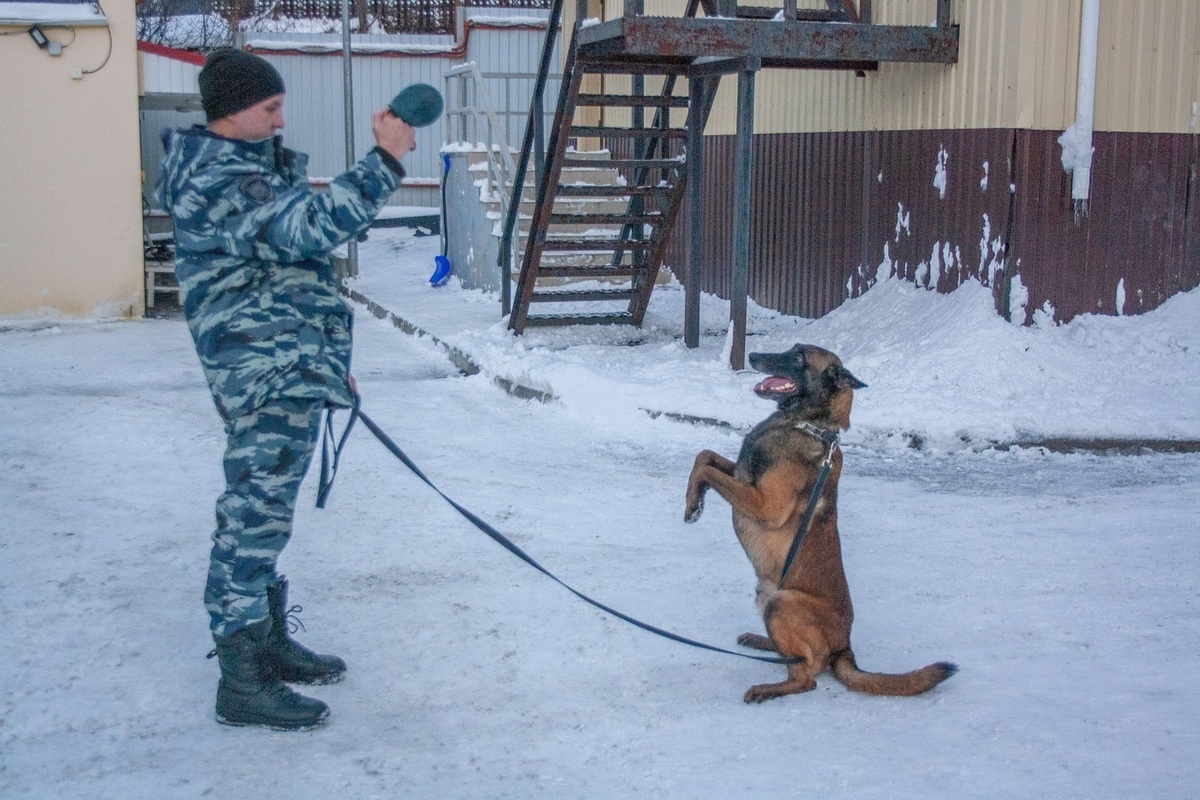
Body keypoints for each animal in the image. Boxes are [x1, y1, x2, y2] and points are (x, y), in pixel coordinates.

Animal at [686, 343, 955, 700]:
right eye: (792, 348)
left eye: (799, 357)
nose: (753, 356)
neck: (804, 424)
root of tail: (845, 647)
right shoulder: (742, 476)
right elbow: (704, 456)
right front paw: (694, 501)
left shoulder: (765, 504)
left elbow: (707, 467)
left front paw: (693, 502)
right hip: (766, 595)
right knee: (796, 657)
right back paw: (762, 642)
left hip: (781, 602)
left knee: (808, 675)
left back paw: (768, 688)